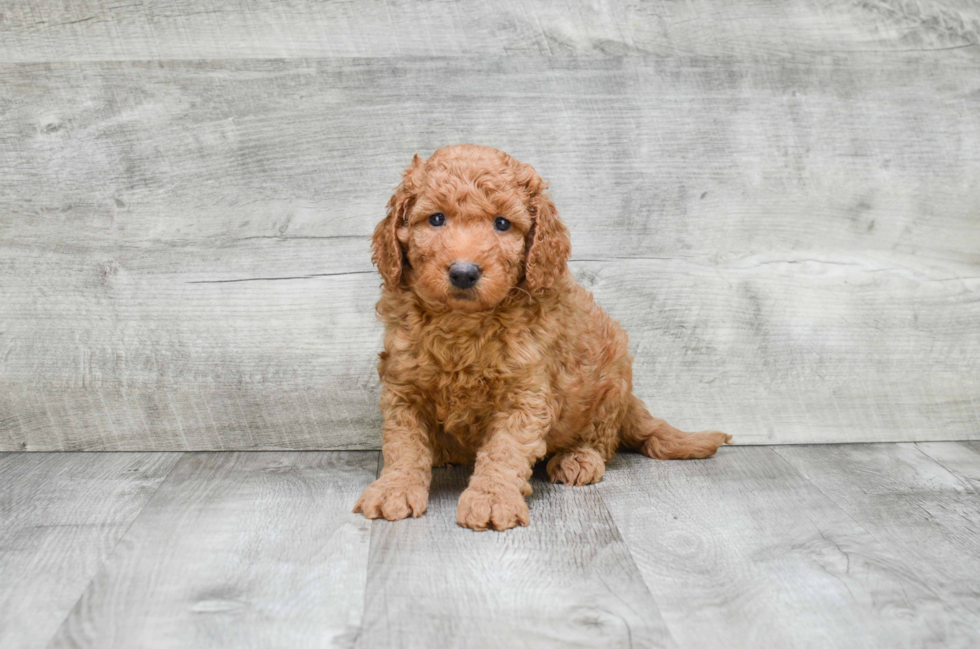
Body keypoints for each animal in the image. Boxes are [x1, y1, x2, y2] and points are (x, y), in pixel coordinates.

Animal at [352, 144, 728, 528]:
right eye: (436, 219)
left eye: (502, 223)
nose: (464, 273)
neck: (463, 323)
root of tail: (630, 403)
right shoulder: (404, 385)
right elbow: (405, 444)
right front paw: (395, 488)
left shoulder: (526, 393)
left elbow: (505, 450)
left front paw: (492, 499)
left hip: (612, 378)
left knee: (602, 440)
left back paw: (578, 458)